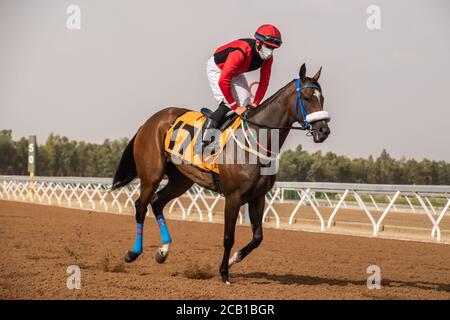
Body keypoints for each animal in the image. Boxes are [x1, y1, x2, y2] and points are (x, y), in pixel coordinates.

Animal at [111, 63, 330, 284]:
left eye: (322, 98)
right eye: (307, 98)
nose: (324, 131)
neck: (255, 139)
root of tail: (149, 122)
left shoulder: (258, 197)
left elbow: (258, 237)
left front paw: (233, 260)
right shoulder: (233, 197)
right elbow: (228, 237)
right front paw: (224, 272)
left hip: (181, 180)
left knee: (157, 202)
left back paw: (163, 251)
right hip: (151, 175)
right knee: (141, 206)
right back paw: (133, 253)